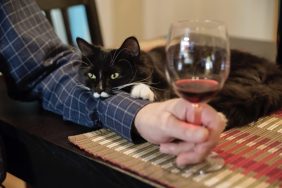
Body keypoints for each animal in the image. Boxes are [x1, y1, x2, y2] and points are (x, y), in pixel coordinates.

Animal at [77, 36, 282, 129]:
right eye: (92, 75)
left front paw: (141, 90)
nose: (99, 90)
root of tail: (274, 71)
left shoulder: (167, 86)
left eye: (114, 75)